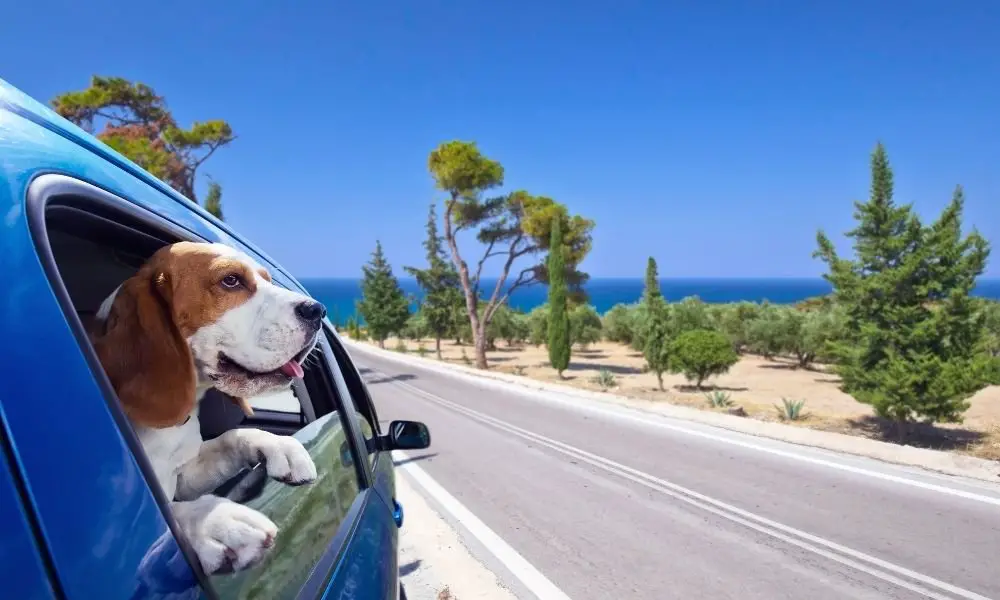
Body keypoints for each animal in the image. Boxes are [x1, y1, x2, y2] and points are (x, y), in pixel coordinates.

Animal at [90, 241, 322, 576]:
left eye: (267, 279)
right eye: (231, 281)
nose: (318, 310)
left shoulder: (186, 475)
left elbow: (233, 437)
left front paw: (280, 445)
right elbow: (173, 514)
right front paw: (213, 520)